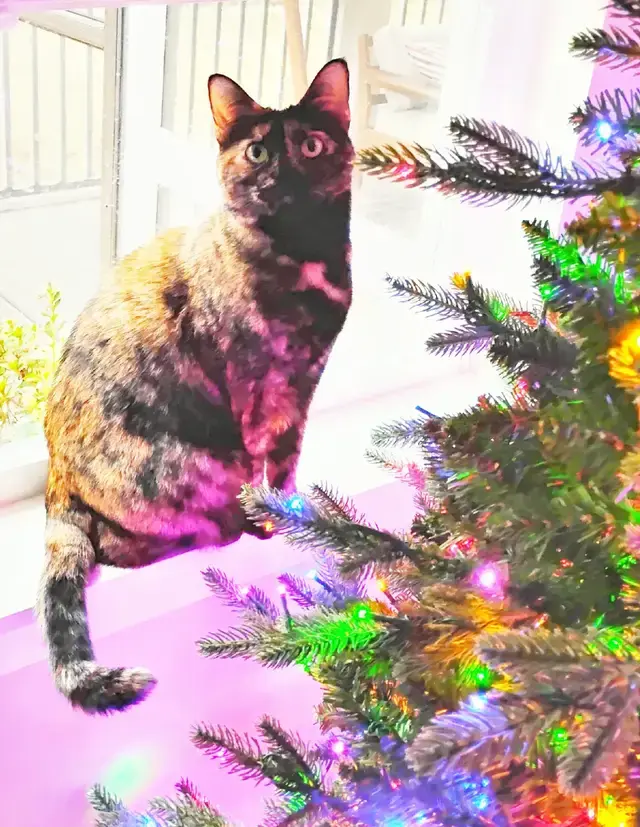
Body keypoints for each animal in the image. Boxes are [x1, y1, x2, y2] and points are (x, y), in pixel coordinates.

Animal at [38, 59, 353, 714]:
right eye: (257, 151)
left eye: (312, 145)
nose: (282, 178)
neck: (304, 260)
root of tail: (57, 481)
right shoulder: (255, 386)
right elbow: (263, 464)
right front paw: (268, 519)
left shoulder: (303, 386)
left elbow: (288, 459)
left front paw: (294, 512)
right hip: (187, 461)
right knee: (119, 545)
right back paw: (218, 532)